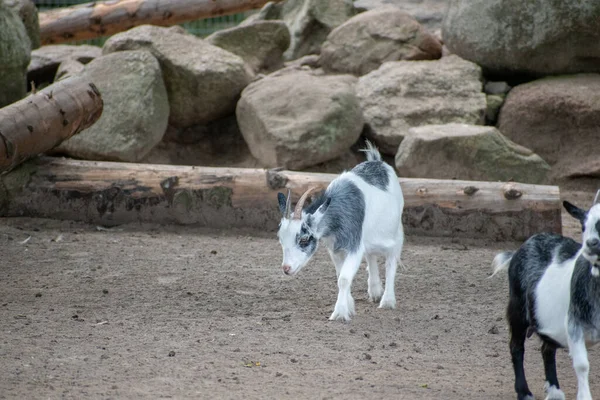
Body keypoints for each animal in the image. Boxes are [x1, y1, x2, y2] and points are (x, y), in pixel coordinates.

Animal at [276, 141, 404, 322]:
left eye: (304, 239)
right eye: (280, 240)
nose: (286, 269)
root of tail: (377, 161)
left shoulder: (354, 246)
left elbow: (343, 278)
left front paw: (340, 313)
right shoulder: (335, 249)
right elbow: (339, 275)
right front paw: (349, 306)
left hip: (396, 232)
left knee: (391, 261)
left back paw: (387, 301)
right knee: (371, 256)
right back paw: (375, 291)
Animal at [490, 192, 600, 398]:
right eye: (583, 226)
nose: (590, 244)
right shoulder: (574, 324)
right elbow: (582, 365)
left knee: (547, 348)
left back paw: (554, 391)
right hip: (517, 308)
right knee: (516, 347)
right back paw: (524, 392)